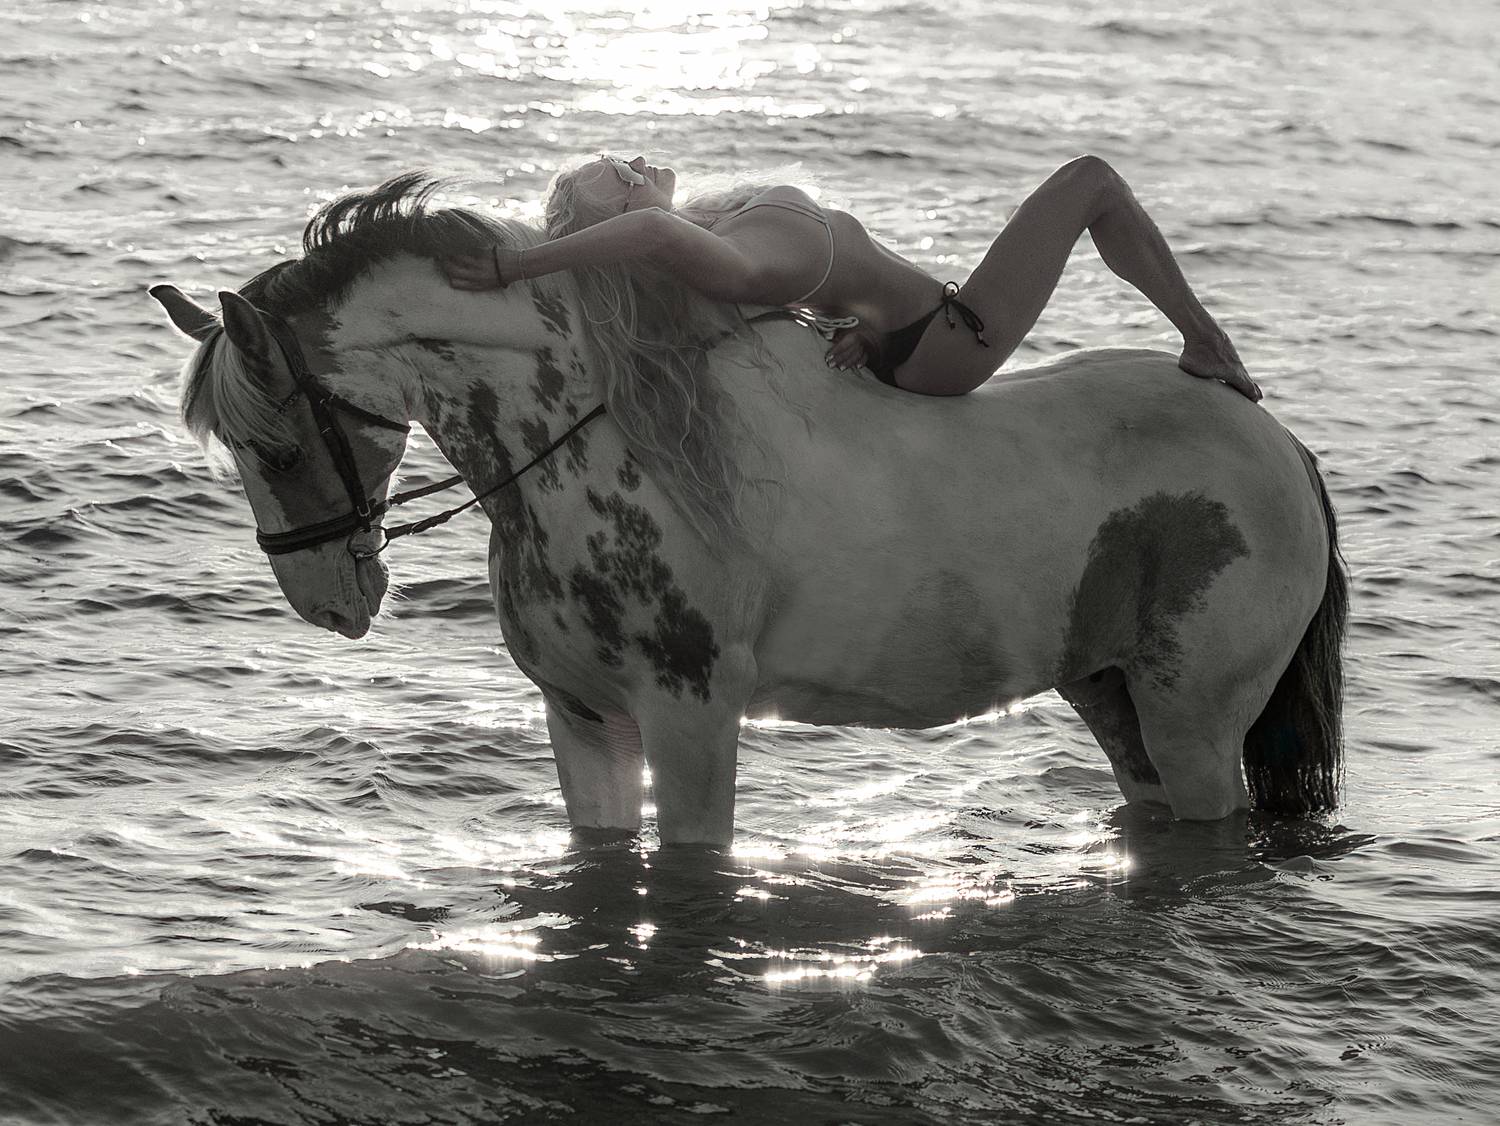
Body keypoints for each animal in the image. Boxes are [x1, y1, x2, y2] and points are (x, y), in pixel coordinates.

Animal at [151, 174, 1347, 847]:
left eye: (271, 444)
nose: (327, 599)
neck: (601, 437)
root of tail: (1281, 446)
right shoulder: (581, 718)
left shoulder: (692, 717)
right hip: (1108, 694)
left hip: (1196, 722)